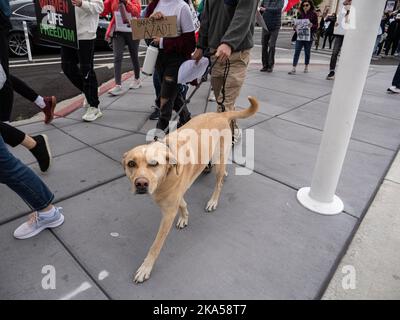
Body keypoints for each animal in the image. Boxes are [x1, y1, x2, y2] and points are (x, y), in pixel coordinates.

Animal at [122, 96, 260, 282]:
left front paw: (146, 267)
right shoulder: (176, 196)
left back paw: (213, 201)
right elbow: (183, 204)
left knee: (218, 184)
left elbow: (156, 245)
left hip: (217, 159)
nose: (141, 184)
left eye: (154, 164)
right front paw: (184, 217)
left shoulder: (167, 214)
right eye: (131, 164)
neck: (167, 173)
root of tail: (221, 114)